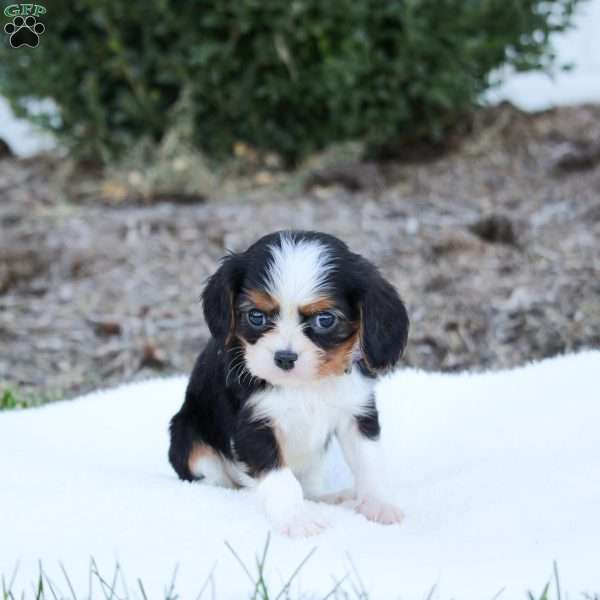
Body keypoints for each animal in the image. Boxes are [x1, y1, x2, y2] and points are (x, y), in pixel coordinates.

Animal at [171, 229, 410, 536]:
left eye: (325, 319)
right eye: (256, 316)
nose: (284, 357)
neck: (306, 385)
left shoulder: (357, 413)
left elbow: (370, 462)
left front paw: (379, 505)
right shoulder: (254, 425)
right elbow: (279, 478)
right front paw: (296, 518)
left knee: (309, 486)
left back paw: (328, 498)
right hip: (189, 441)